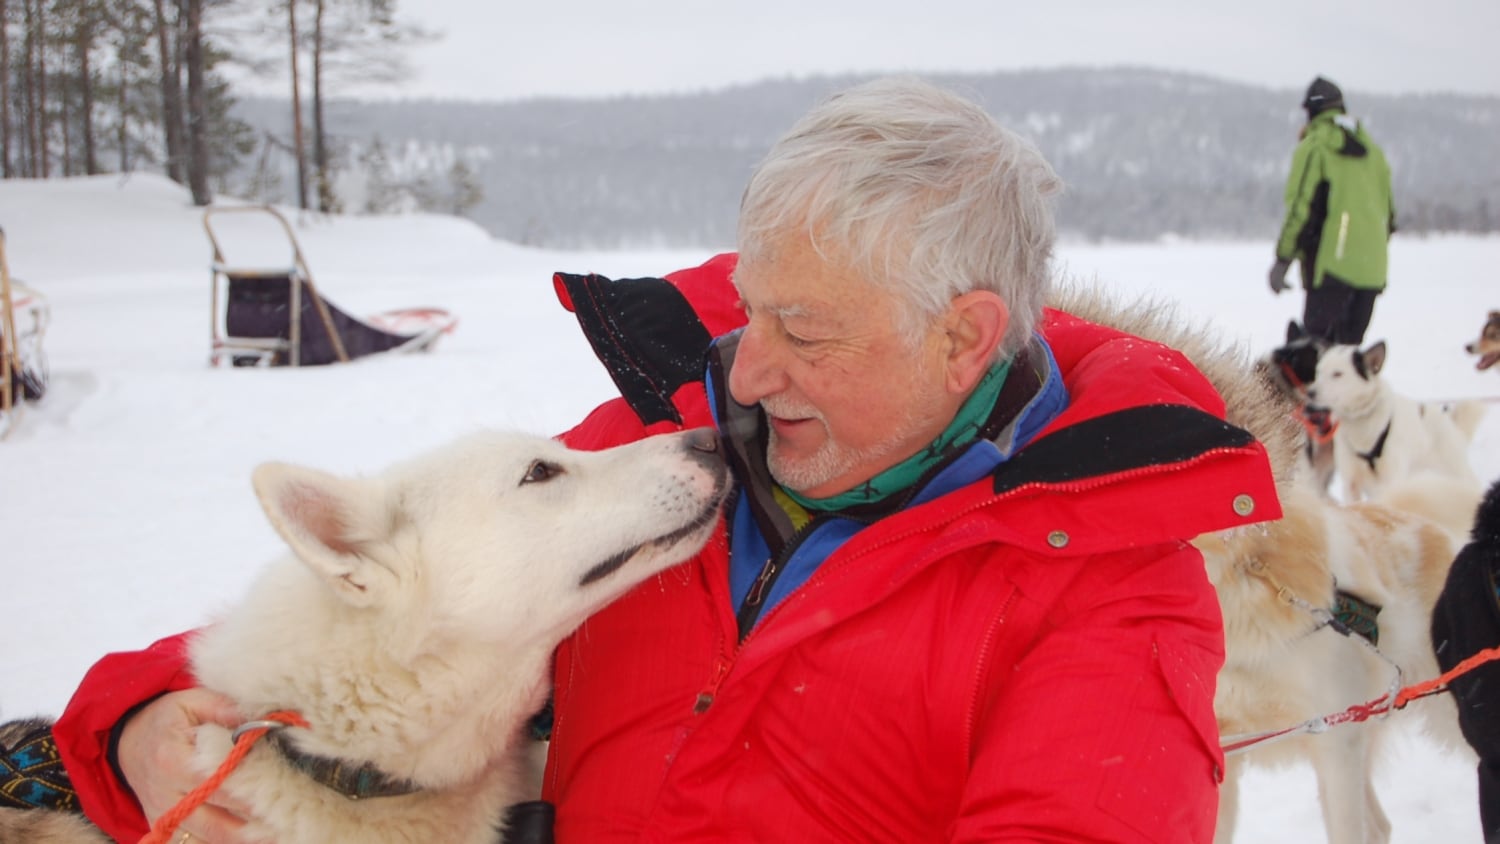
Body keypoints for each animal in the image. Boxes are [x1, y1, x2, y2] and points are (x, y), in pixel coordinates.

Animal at [1308, 341, 1482, 506]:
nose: (1310, 392)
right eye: (1318, 372)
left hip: (1455, 472)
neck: (1361, 422)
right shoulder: (1351, 482)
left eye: (1337, 374)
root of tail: (1451, 422)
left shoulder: (1390, 480)